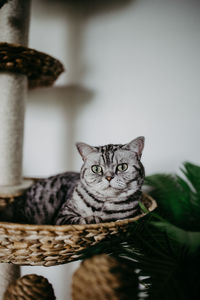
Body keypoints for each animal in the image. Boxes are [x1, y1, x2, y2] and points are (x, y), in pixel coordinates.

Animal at [1, 137, 145, 224]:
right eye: (96, 169)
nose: (109, 177)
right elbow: (81, 220)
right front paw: (93, 219)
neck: (102, 205)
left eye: (122, 167)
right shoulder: (63, 215)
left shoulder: (125, 218)